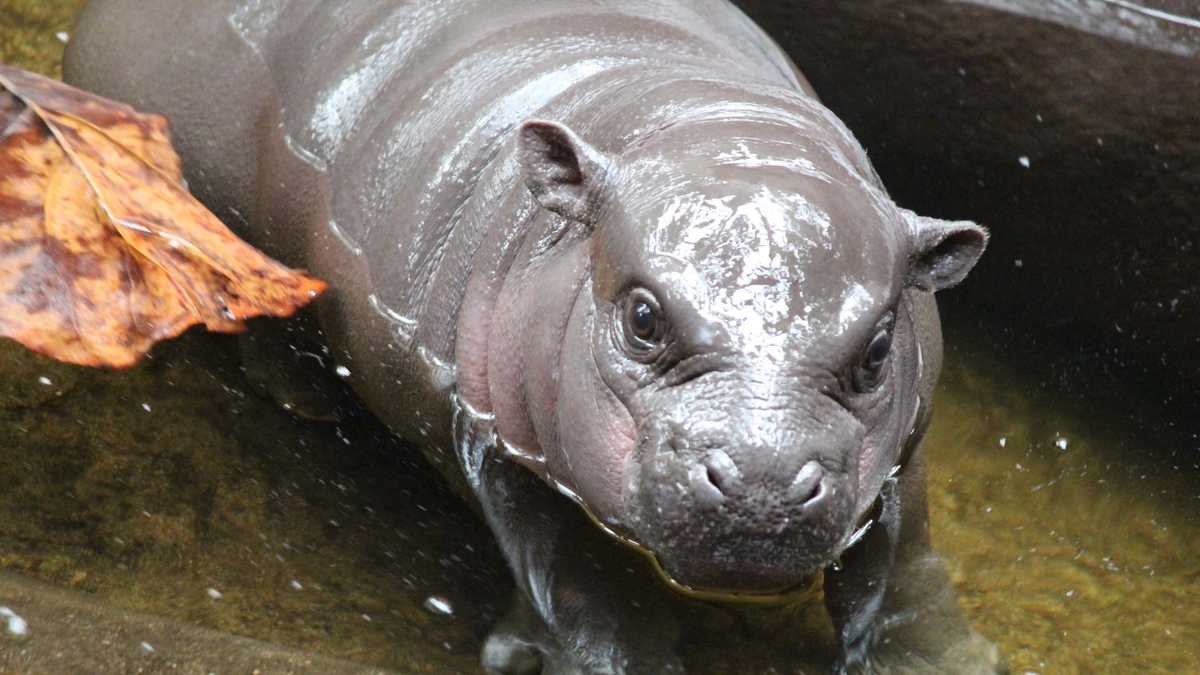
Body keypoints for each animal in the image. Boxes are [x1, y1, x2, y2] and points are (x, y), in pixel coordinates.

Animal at [65, 0, 1003, 667]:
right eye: (642, 317)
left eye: (877, 348)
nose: (763, 482)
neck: (712, 130)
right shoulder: (492, 437)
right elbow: (574, 575)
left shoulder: (904, 448)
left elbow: (904, 557)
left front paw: (942, 660)